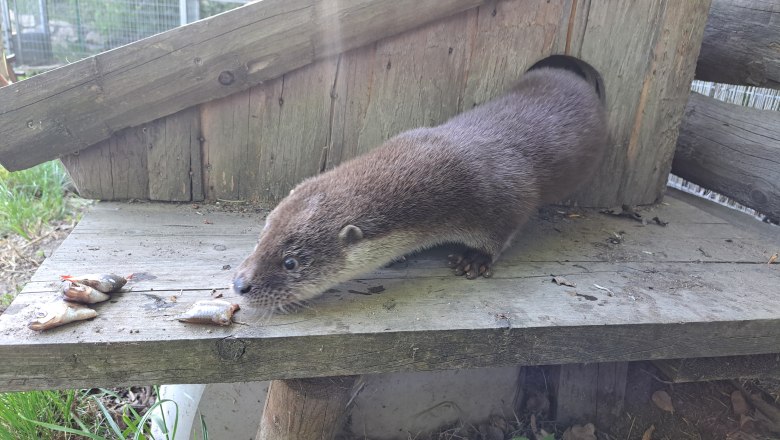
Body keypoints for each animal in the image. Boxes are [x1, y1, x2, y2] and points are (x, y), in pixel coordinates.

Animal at [232, 67, 608, 312]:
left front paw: (474, 260)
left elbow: (504, 229)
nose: (240, 284)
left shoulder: (503, 194)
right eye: (262, 237)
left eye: (291, 262)